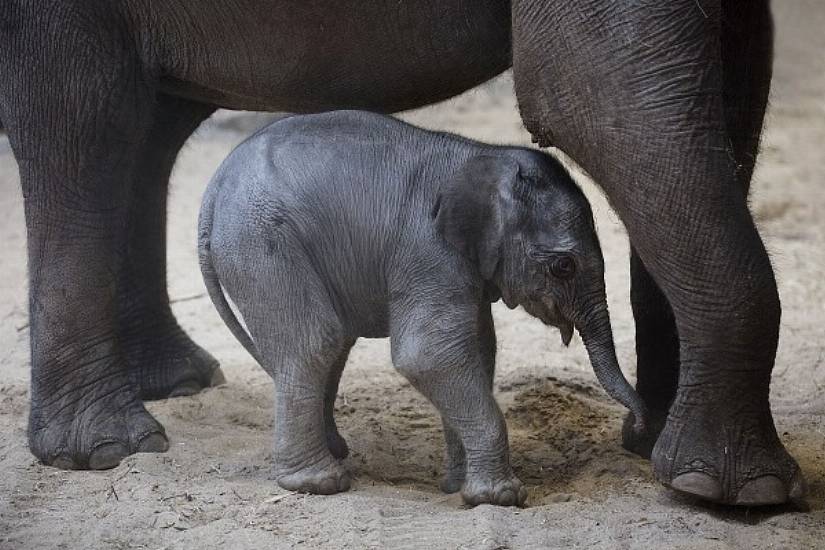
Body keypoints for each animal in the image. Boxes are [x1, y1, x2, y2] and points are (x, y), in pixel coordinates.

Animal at [198, 112, 644, 508]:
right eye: (563, 267)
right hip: (262, 243)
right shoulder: (428, 250)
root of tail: (214, 190)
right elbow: (428, 356)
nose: (637, 426)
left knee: (332, 346)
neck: (484, 155)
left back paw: (335, 453)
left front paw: (457, 488)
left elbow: (477, 353)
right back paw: (320, 483)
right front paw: (500, 498)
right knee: (315, 342)